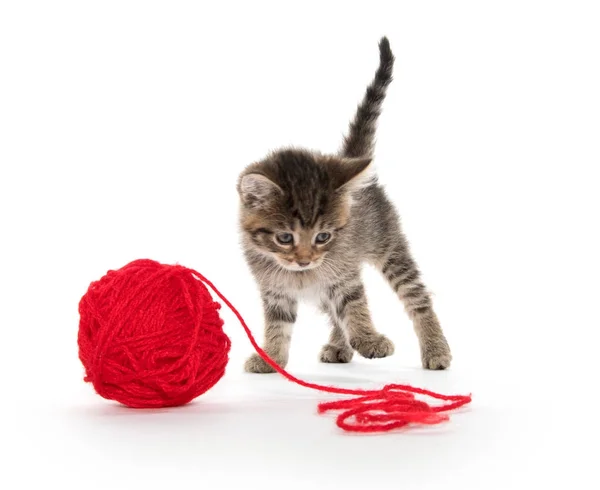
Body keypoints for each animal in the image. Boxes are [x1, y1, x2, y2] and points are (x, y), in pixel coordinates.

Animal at [234, 36, 450, 372]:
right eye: (284, 238)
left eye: (323, 236)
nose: (305, 261)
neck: (300, 274)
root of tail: (348, 158)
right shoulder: (275, 290)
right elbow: (277, 324)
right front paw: (272, 357)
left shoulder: (344, 274)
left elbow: (354, 306)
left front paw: (368, 339)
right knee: (334, 313)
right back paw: (339, 346)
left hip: (389, 246)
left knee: (417, 296)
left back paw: (435, 348)